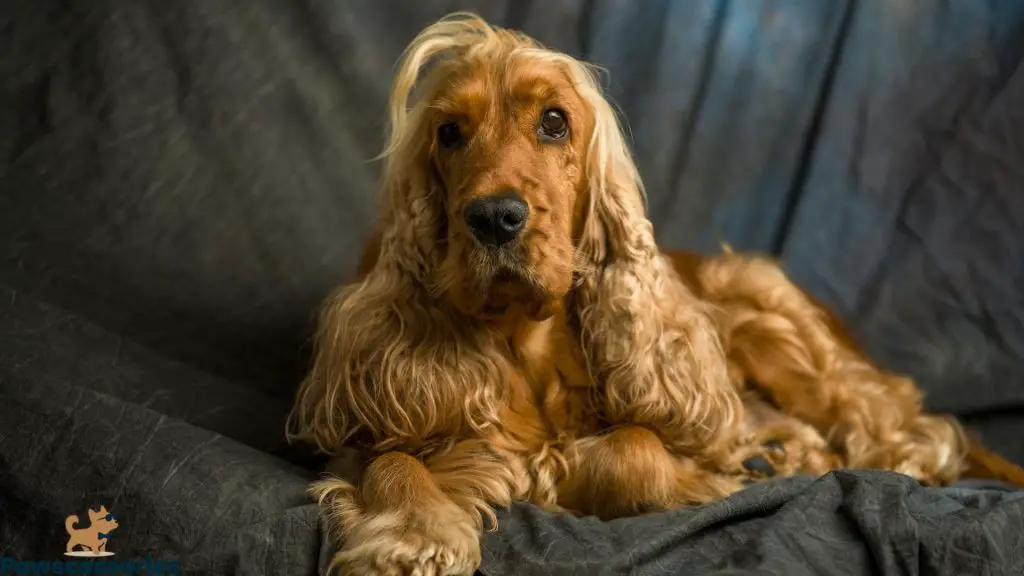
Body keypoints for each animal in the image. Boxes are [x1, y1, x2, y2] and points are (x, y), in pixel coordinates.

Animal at [288, 13, 1024, 573]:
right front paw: (414, 539)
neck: (527, 342)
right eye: (448, 133)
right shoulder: (375, 423)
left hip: (773, 320)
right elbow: (394, 465)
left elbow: (632, 450)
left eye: (553, 122)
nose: (495, 217)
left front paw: (570, 466)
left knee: (904, 424)